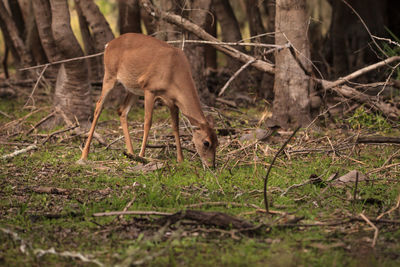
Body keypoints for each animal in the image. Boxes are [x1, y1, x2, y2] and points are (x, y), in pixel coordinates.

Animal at [78, 33, 219, 168]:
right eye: (206, 143)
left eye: (217, 142)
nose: (211, 166)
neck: (174, 73)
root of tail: (108, 44)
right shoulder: (150, 90)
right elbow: (147, 122)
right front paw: (142, 156)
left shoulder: (172, 102)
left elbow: (175, 127)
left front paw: (180, 159)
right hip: (110, 75)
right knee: (99, 106)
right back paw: (84, 155)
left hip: (133, 88)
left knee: (122, 110)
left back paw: (131, 153)